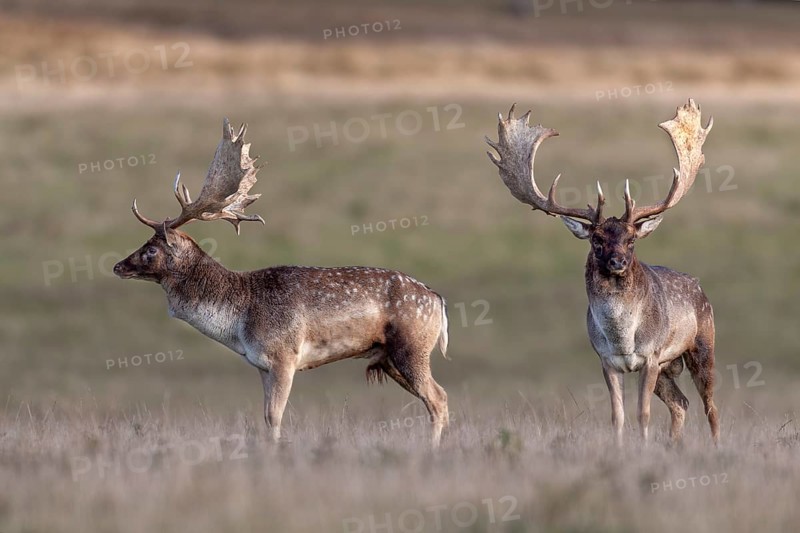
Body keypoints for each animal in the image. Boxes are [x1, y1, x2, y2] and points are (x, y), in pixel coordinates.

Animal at [113, 119, 450, 447]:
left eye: (151, 248)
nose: (118, 266)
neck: (238, 320)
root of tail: (438, 300)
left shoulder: (283, 356)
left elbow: (275, 417)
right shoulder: (262, 365)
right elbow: (266, 417)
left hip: (412, 347)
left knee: (437, 399)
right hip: (389, 358)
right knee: (440, 397)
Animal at [486, 99, 719, 446]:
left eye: (631, 239)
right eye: (596, 240)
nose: (618, 262)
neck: (623, 338)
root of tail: (701, 290)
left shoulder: (651, 356)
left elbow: (643, 413)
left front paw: (643, 446)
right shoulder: (606, 361)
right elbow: (617, 416)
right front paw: (620, 447)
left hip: (702, 346)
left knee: (710, 406)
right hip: (669, 367)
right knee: (681, 403)